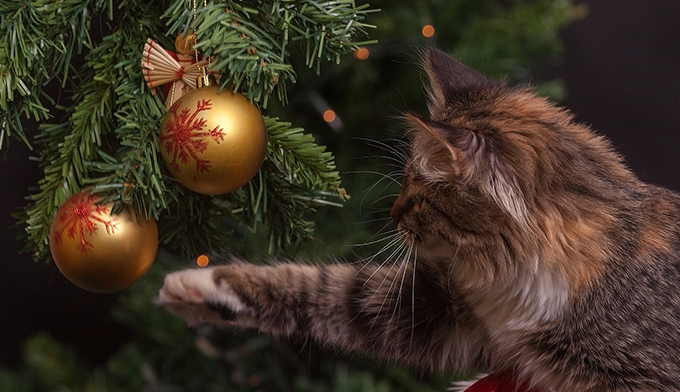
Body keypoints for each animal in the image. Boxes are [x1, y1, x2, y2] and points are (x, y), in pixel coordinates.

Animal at [157, 47, 680, 390]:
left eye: (419, 195)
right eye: (404, 179)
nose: (391, 214)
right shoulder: (443, 311)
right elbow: (320, 288)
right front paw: (200, 286)